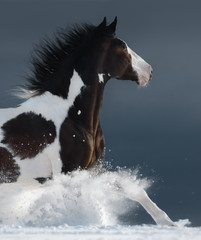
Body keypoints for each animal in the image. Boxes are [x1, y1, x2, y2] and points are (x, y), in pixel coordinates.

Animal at [0, 17, 174, 226]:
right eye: (123, 46)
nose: (149, 71)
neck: (73, 117)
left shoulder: (92, 170)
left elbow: (133, 189)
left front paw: (168, 223)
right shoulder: (70, 173)